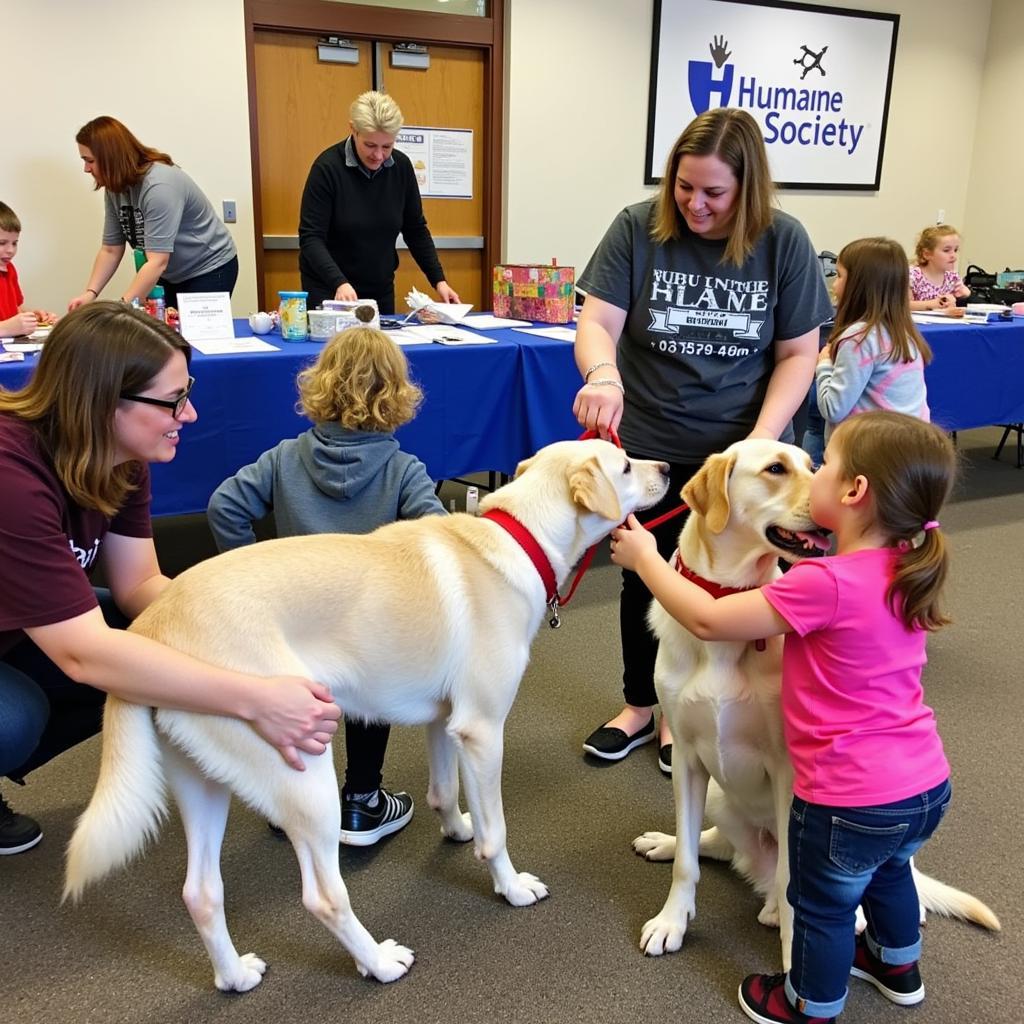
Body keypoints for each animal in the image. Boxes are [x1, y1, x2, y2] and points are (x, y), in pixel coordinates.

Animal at [64, 440, 671, 991]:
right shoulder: (481, 731)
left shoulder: (445, 723)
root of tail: (150, 628)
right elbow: (496, 831)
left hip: (202, 783)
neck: (518, 538)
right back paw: (377, 962)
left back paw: (234, 975)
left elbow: (444, 792)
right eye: (624, 465)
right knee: (323, 897)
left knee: (202, 893)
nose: (667, 467)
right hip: (304, 772)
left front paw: (457, 829)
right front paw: (511, 886)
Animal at [630, 438, 999, 966]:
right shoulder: (685, 757)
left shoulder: (788, 772)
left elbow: (793, 880)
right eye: (776, 469)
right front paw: (671, 920)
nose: (829, 510)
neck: (725, 599)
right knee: (716, 846)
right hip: (721, 796)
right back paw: (669, 844)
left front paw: (792, 953)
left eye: (814, 466)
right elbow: (687, 862)